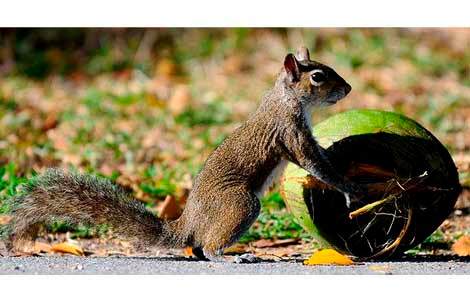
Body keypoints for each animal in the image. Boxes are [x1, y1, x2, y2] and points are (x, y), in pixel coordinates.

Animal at [4, 46, 364, 262]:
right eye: (318, 76)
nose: (348, 89)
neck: (284, 98)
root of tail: (188, 225)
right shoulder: (291, 133)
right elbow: (315, 163)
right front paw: (349, 188)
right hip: (240, 204)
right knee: (209, 247)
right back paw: (233, 255)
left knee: (199, 249)